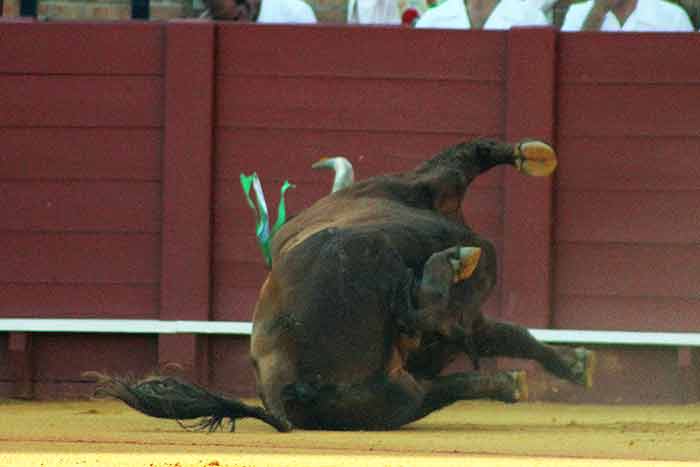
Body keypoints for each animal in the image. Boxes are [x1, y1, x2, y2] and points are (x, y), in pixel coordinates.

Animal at [95, 137, 592, 434]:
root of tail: (280, 394)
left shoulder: (470, 320)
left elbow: (515, 337)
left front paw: (574, 366)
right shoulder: (434, 181)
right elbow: (473, 152)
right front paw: (531, 154)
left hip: (392, 399)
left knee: (437, 379)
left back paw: (509, 381)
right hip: (362, 257)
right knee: (421, 313)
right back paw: (457, 271)